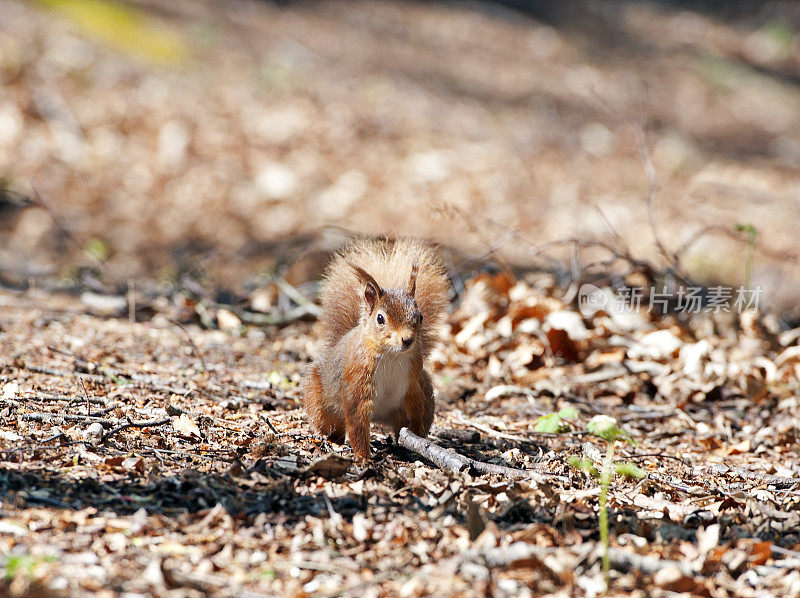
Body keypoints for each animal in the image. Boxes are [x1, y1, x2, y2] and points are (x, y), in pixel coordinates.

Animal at [302, 238, 450, 460]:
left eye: (421, 317)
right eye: (380, 319)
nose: (408, 340)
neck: (391, 355)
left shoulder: (414, 383)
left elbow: (416, 410)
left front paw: (417, 441)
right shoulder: (358, 381)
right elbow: (357, 421)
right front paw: (363, 457)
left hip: (422, 398)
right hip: (319, 402)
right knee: (332, 425)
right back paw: (329, 440)